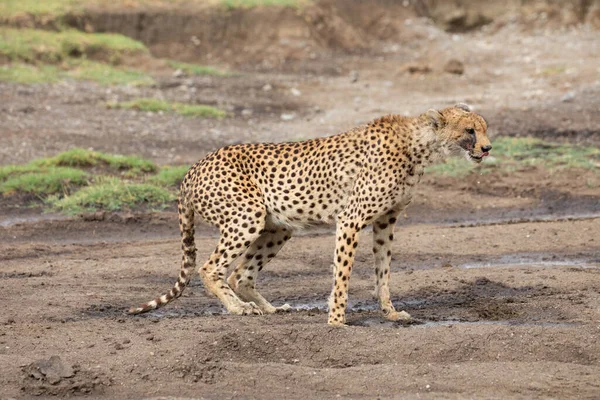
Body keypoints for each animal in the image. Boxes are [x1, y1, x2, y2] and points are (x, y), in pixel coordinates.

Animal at [129, 103, 490, 324]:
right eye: (469, 131)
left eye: (484, 129)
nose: (487, 148)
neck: (418, 146)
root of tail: (194, 167)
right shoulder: (351, 220)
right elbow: (342, 274)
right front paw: (337, 321)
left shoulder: (386, 221)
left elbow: (383, 272)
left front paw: (390, 313)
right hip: (247, 217)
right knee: (210, 268)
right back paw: (239, 309)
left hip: (277, 227)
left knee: (240, 274)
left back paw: (269, 308)